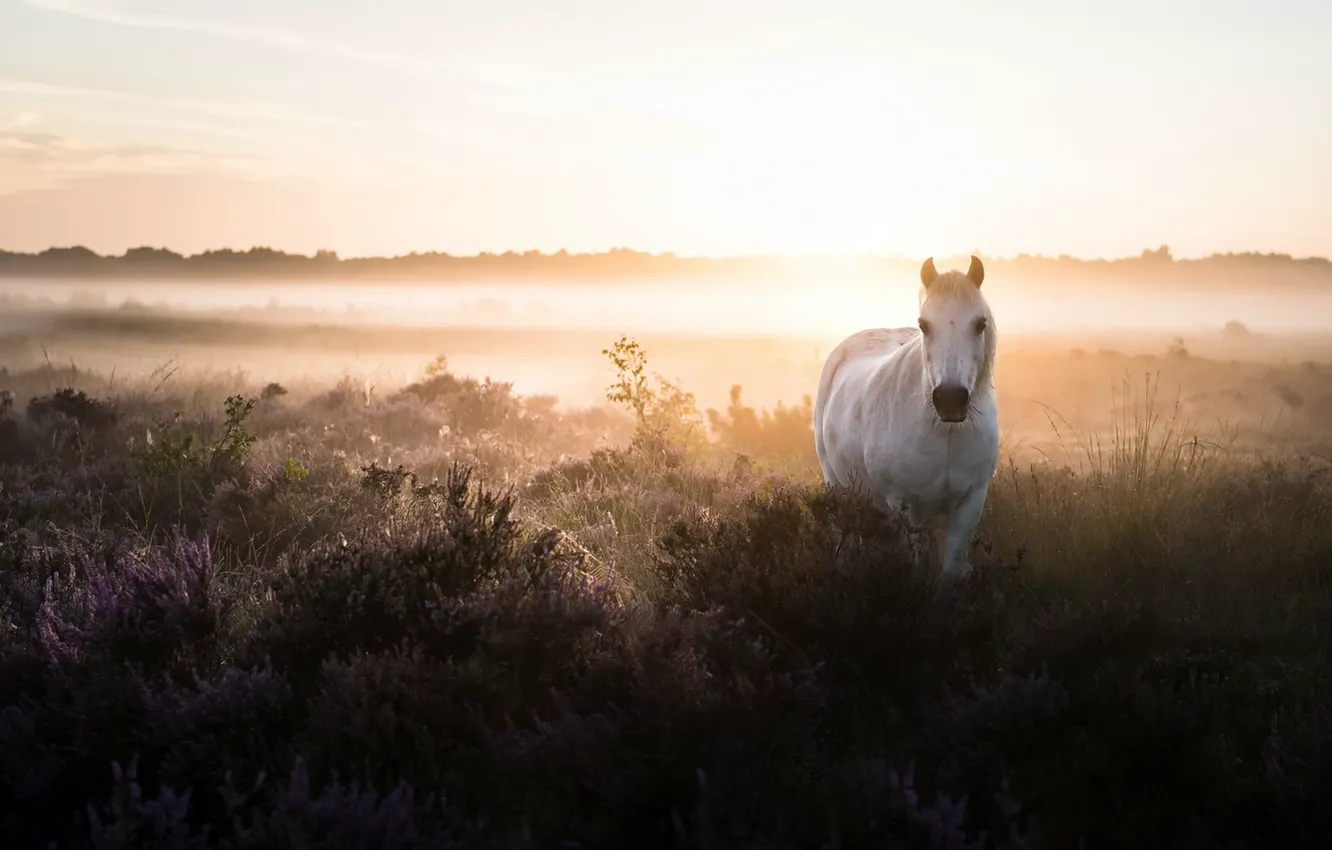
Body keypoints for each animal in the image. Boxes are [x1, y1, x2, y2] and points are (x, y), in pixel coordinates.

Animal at [813, 255, 999, 578]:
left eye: (980, 324)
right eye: (924, 325)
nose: (950, 399)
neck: (945, 433)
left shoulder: (969, 504)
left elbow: (950, 568)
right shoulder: (907, 506)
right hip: (835, 484)